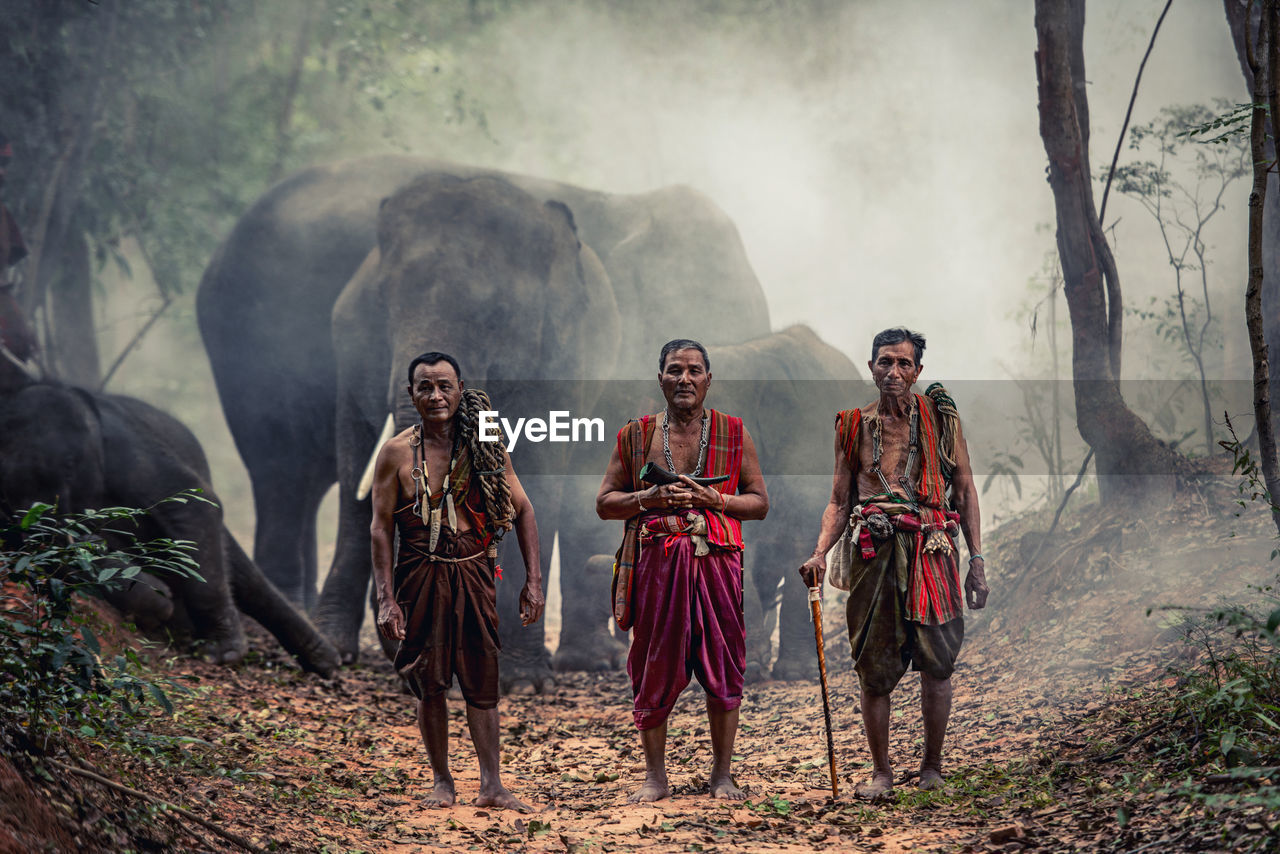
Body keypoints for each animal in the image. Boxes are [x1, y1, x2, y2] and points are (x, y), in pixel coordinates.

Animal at [0, 384, 343, 676]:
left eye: (69, 467)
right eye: (7, 495)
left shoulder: (128, 446)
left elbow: (191, 507)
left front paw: (222, 654)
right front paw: (156, 599)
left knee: (239, 571)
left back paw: (325, 661)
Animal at [190, 155, 768, 681]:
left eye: (499, 319)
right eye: (381, 306)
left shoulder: (565, 360)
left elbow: (539, 476)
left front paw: (523, 678)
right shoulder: (351, 346)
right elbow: (359, 460)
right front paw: (344, 651)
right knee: (285, 476)